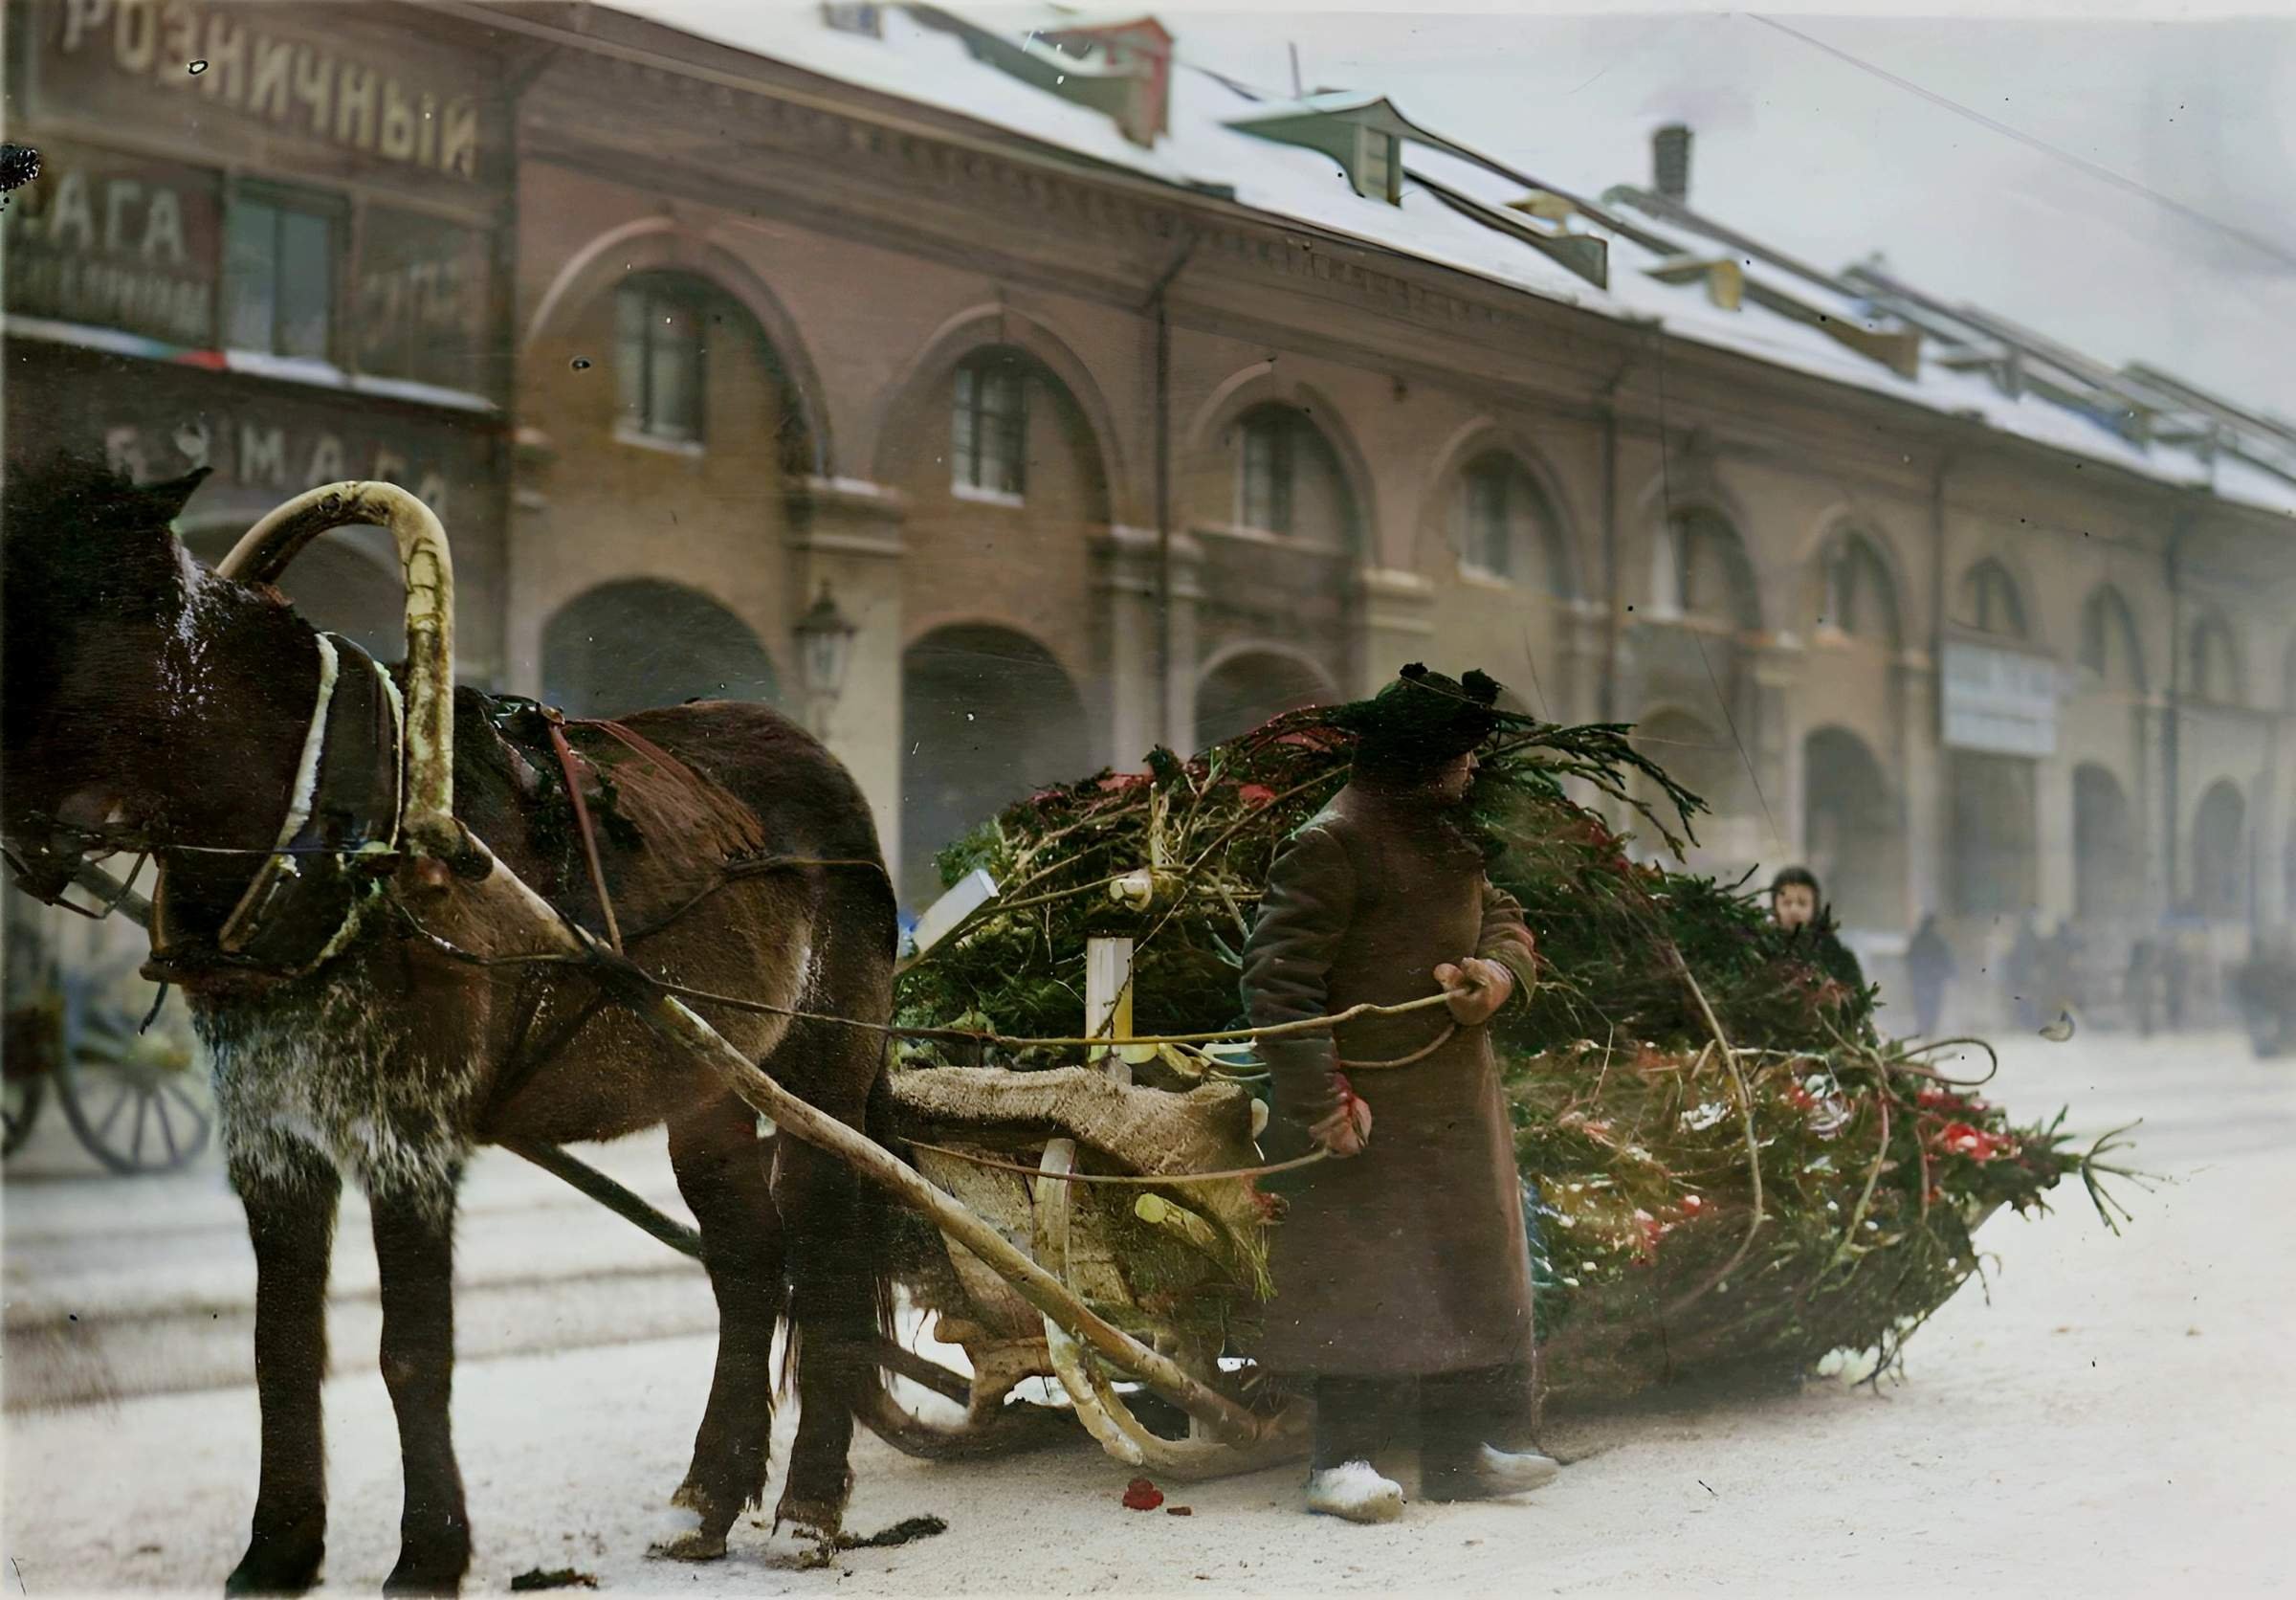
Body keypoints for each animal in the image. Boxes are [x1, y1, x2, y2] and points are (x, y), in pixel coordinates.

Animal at [4, 454, 899, 1589]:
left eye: (82, 597)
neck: (338, 826)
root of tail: (819, 762)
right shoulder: (270, 1137)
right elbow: (279, 1345)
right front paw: (279, 1549)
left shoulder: (408, 1134)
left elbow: (412, 1350)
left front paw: (428, 1552)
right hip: (708, 1085)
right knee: (748, 1266)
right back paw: (705, 1496)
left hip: (824, 1068)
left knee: (824, 1261)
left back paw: (810, 1508)